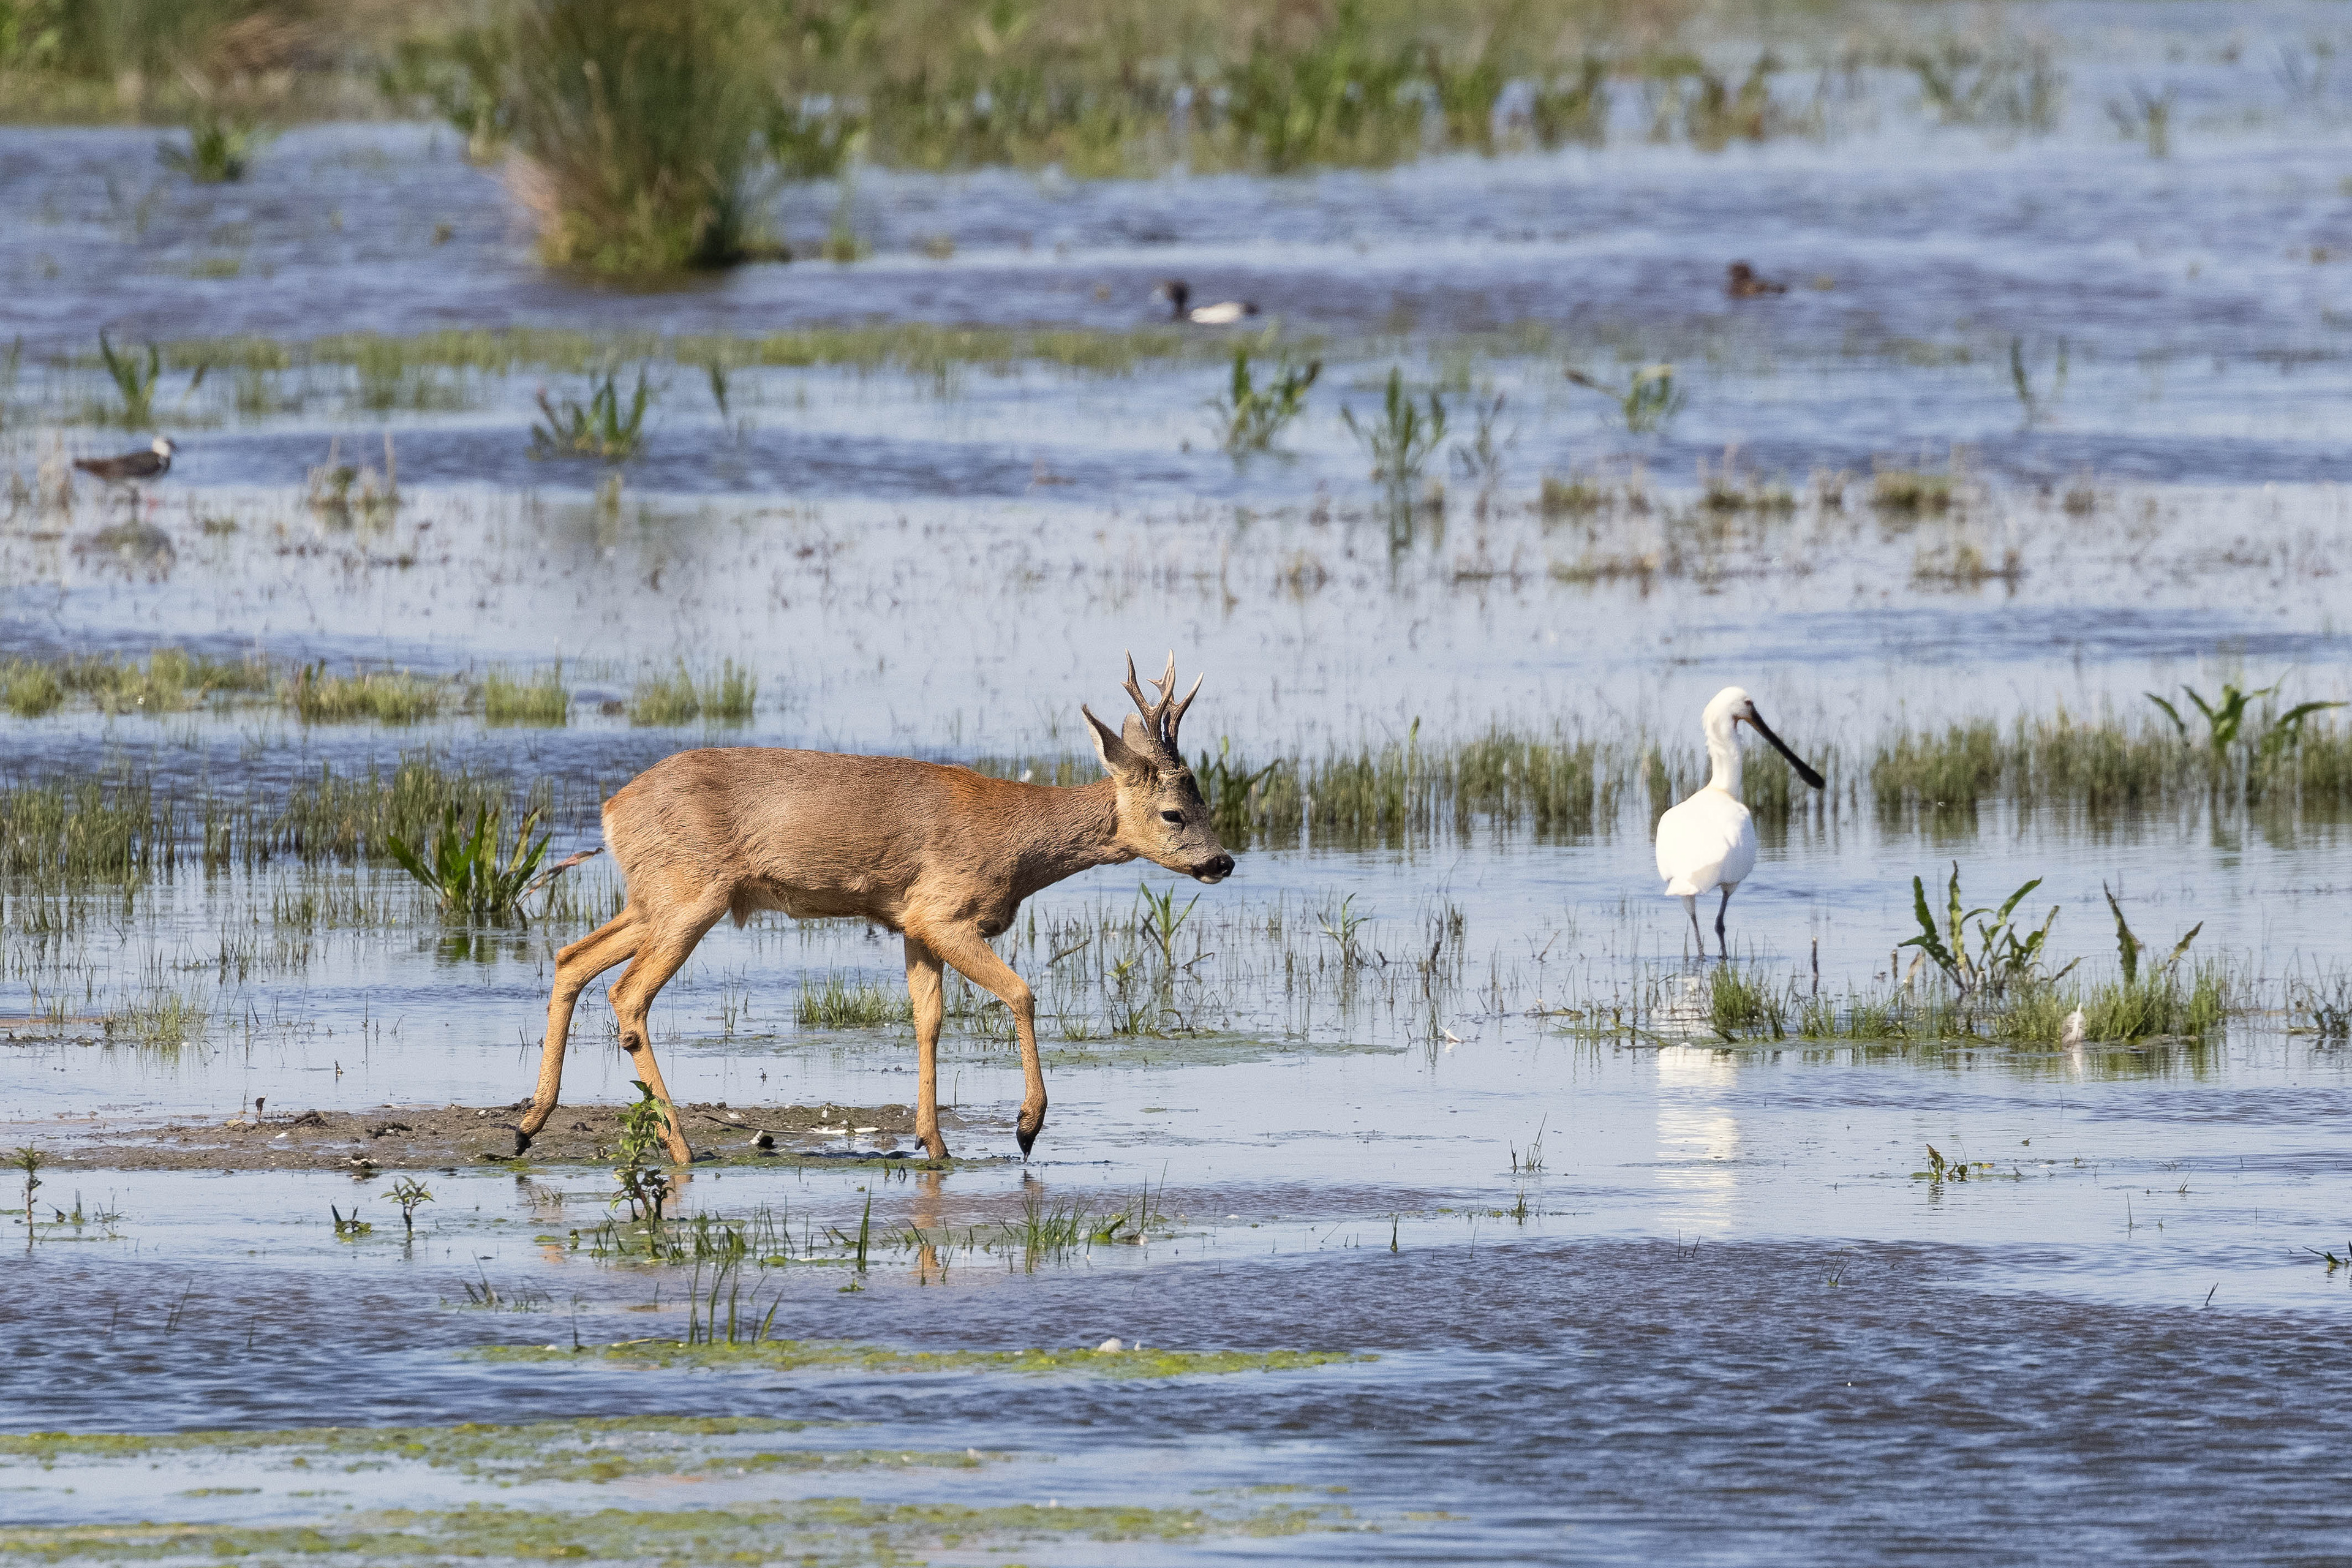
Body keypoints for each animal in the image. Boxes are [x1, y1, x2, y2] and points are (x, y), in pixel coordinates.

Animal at [514, 653, 1235, 1166]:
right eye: (1174, 812)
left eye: (1203, 802)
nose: (1223, 861)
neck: (1017, 846)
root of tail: (612, 811)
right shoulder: (945, 911)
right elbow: (1022, 993)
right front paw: (1027, 1127)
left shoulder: (910, 923)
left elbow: (928, 1021)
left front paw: (933, 1143)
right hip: (693, 893)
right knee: (628, 993)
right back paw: (681, 1148)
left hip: (654, 897)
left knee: (571, 957)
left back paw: (529, 1125)